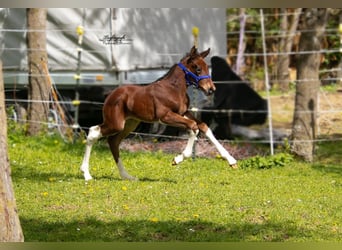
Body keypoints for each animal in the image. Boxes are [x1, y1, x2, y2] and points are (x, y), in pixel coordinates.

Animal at [80, 46, 236, 181]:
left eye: (207, 68)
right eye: (197, 68)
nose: (211, 89)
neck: (173, 89)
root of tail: (110, 95)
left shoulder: (183, 112)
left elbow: (203, 126)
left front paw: (231, 161)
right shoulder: (165, 116)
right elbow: (193, 126)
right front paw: (177, 159)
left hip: (130, 124)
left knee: (113, 141)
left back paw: (127, 176)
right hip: (116, 123)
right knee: (93, 132)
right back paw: (86, 174)